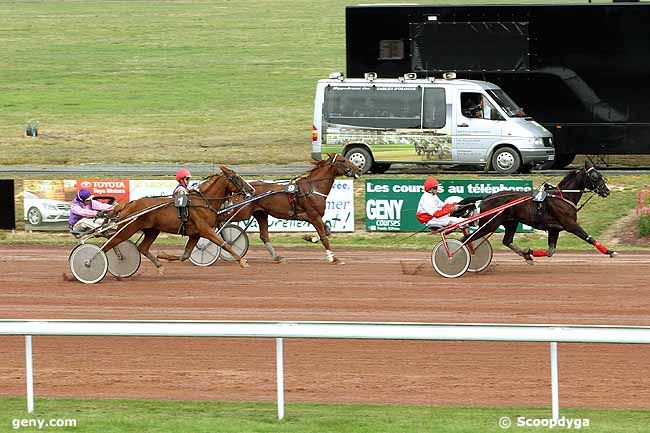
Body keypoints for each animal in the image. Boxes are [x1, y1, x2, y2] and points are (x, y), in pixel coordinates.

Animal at [104, 165, 253, 274]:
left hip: (152, 231)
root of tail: (128, 204)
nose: (251, 189)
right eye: (236, 178)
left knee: (142, 248)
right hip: (127, 229)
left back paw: (159, 266)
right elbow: (225, 244)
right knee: (108, 245)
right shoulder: (205, 230)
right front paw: (242, 261)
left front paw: (163, 255)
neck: (204, 201)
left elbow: (185, 255)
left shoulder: (195, 234)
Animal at [225, 154, 362, 264]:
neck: (313, 188)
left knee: (264, 236)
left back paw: (277, 257)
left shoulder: (314, 216)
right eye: (343, 160)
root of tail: (243, 190)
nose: (359, 169)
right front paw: (333, 258)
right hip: (242, 212)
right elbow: (324, 236)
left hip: (261, 214)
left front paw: (310, 238)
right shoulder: (314, 216)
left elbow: (327, 231)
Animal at [454, 159, 616, 264]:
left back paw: (526, 256)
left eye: (601, 175)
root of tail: (487, 197)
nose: (606, 191)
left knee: (507, 241)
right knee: (465, 239)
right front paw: (610, 252)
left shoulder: (554, 229)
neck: (563, 197)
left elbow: (551, 251)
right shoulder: (570, 224)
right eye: (595, 176)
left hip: (511, 222)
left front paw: (530, 252)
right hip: (490, 224)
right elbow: (589, 238)